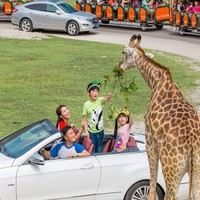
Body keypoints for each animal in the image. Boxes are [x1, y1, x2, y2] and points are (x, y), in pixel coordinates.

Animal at [118, 34, 200, 200]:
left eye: (124, 52)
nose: (119, 68)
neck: (155, 82)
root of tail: (193, 145)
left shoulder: (150, 141)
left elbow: (151, 183)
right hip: (195, 170)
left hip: (172, 170)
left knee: (171, 195)